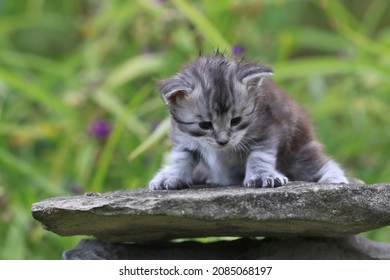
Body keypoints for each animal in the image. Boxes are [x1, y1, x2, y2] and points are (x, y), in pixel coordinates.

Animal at [149, 53, 348, 190]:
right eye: (205, 125)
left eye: (236, 121)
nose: (223, 141)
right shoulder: (182, 138)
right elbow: (181, 158)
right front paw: (173, 176)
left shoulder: (268, 128)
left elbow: (259, 155)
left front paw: (262, 176)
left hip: (299, 153)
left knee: (321, 164)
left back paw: (335, 179)